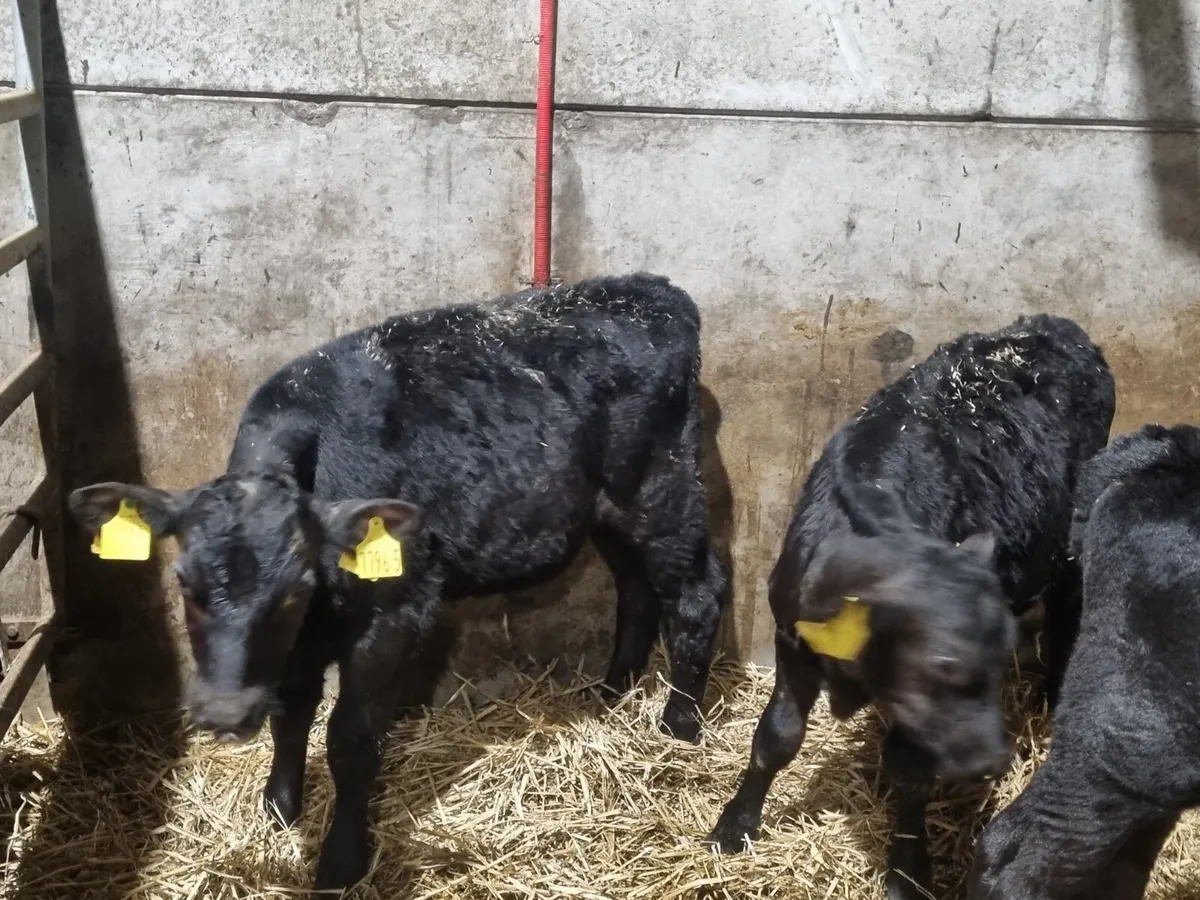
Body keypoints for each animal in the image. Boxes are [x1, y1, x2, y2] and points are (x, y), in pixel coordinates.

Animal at [68, 273, 730, 890]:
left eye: (294, 587)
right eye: (183, 581)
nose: (225, 713)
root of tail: (650, 291)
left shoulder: (391, 614)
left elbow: (350, 737)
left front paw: (341, 858)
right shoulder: (302, 642)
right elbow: (292, 713)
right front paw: (280, 808)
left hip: (662, 491)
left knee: (698, 592)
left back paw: (679, 724)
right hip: (607, 511)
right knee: (637, 592)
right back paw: (613, 694)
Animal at [706, 314, 1115, 900]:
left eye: (998, 658)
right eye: (944, 663)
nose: (994, 760)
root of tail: (1052, 325)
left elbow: (909, 772)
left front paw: (906, 866)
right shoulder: (792, 640)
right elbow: (776, 736)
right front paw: (736, 823)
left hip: (1067, 534)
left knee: (1067, 602)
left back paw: (1052, 694)